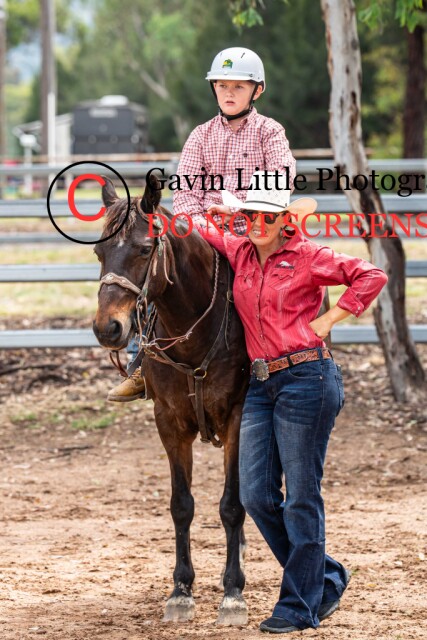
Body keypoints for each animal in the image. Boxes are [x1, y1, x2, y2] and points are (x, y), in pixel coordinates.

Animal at [92, 175, 250, 625]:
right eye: (98, 252)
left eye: (145, 249)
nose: (108, 328)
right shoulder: (169, 422)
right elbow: (182, 505)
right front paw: (181, 590)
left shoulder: (239, 416)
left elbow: (232, 505)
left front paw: (233, 592)